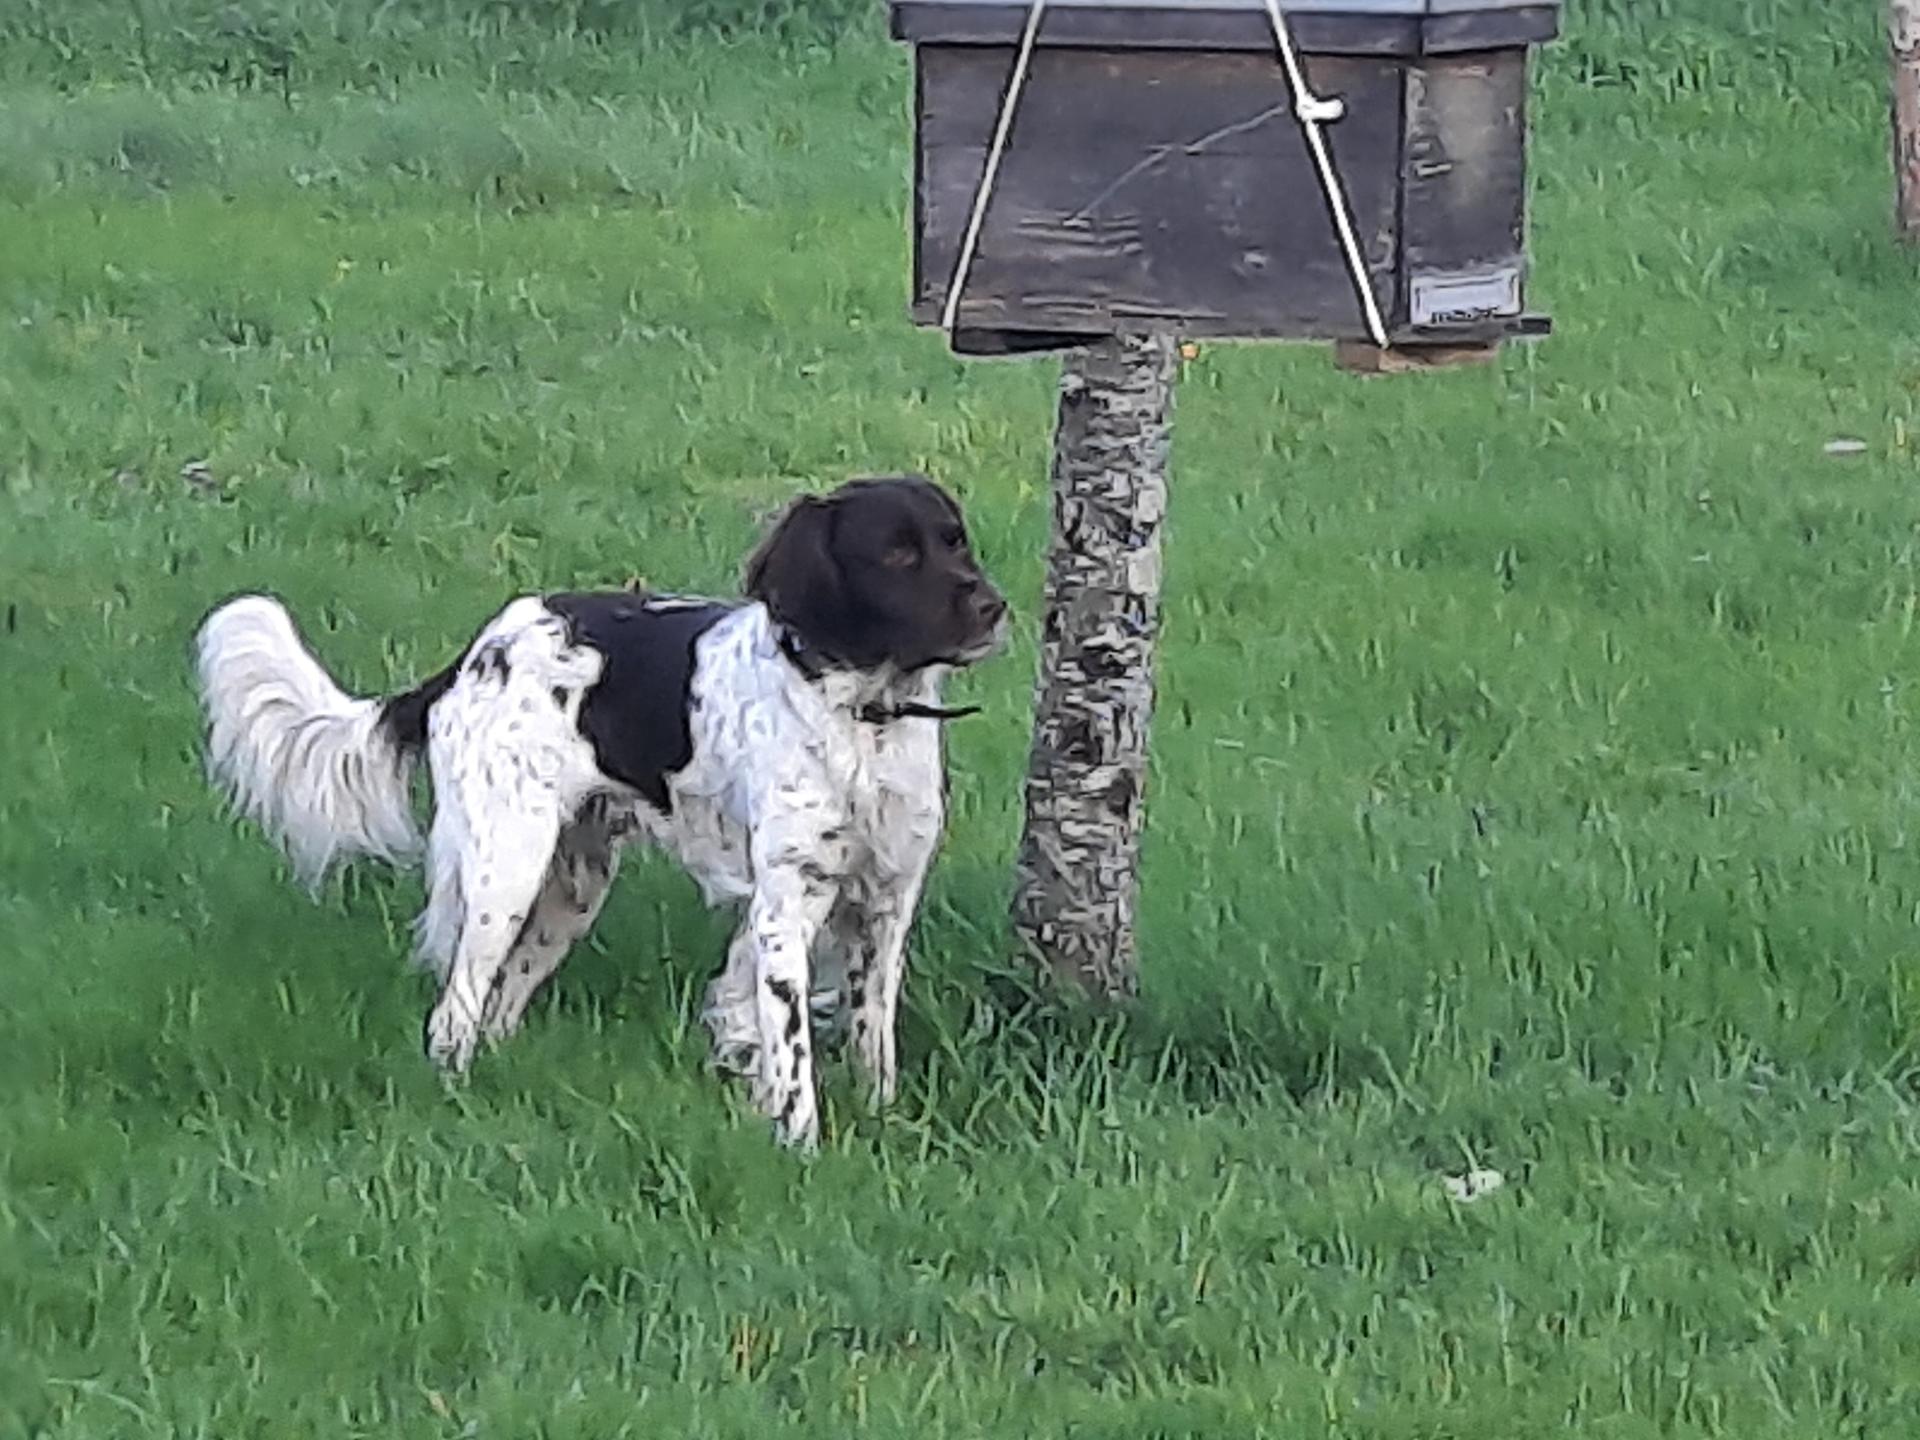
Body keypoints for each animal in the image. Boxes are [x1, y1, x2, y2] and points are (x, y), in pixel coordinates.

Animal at [192, 474, 1006, 1152]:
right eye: (896, 554)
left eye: (955, 540)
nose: (993, 606)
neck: (863, 720)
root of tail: (475, 654)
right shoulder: (786, 908)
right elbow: (792, 1048)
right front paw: (800, 1145)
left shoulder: (887, 901)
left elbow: (873, 1034)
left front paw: (879, 1117)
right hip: (508, 869)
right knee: (455, 1013)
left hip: (570, 887)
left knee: (497, 1006)